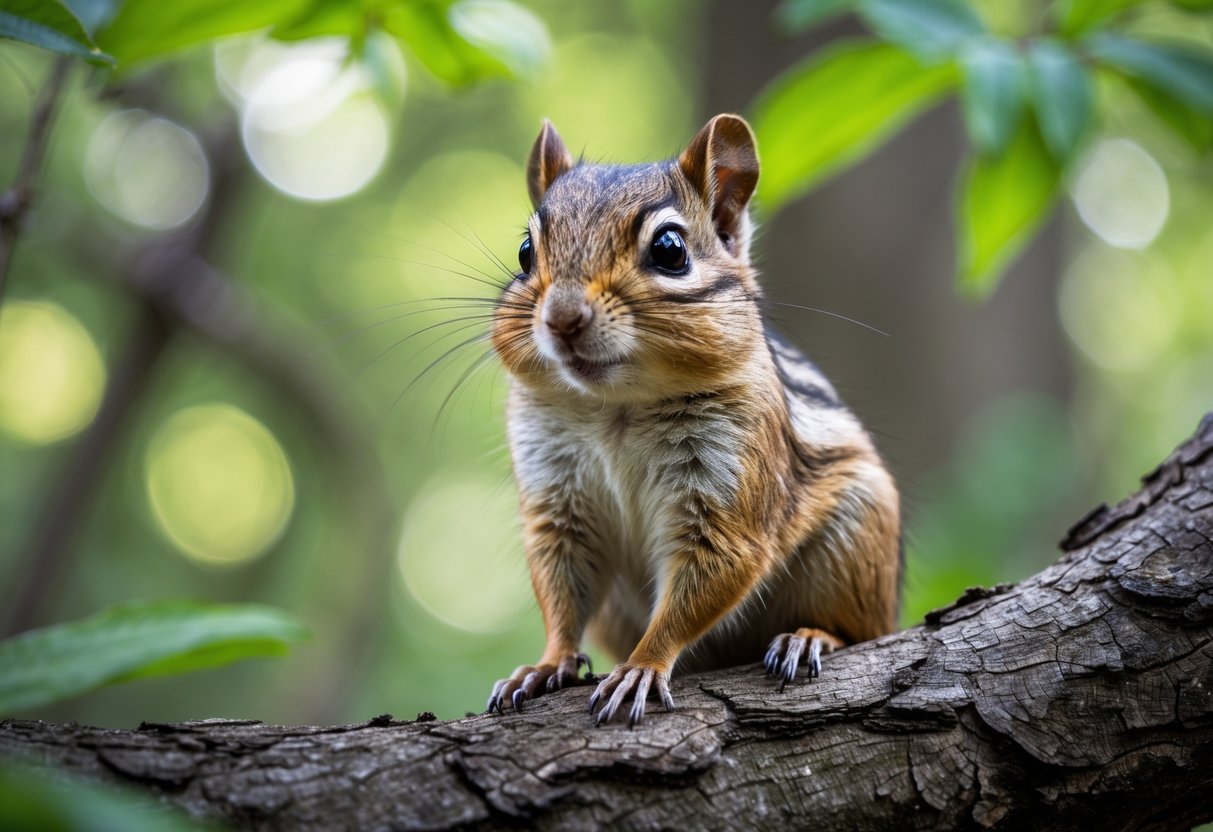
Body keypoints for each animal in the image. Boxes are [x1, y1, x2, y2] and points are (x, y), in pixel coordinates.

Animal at [486, 114, 901, 726]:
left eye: (670, 249)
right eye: (523, 252)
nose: (562, 318)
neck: (617, 408)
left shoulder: (730, 485)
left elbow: (707, 578)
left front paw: (640, 667)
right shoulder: (556, 499)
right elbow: (560, 588)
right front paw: (545, 664)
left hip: (858, 542)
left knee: (861, 630)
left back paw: (808, 637)